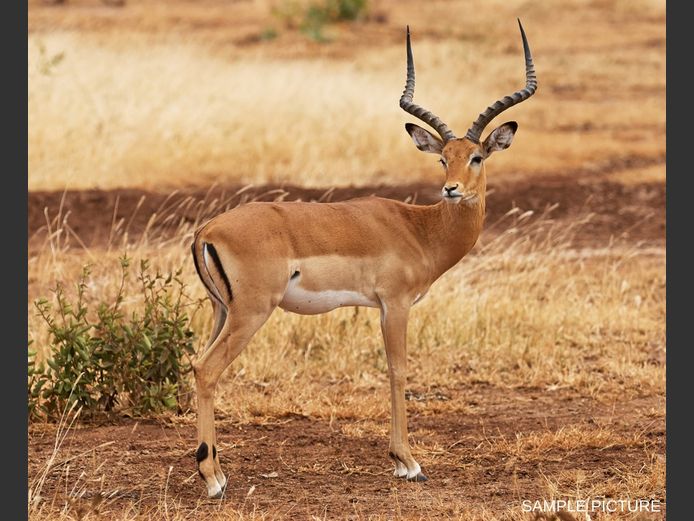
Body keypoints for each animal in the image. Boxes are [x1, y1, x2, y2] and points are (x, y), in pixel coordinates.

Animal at [190, 20, 537, 498]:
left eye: (477, 156)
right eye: (443, 159)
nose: (451, 189)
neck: (419, 228)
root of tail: (207, 230)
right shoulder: (396, 304)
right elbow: (398, 371)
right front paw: (408, 463)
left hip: (221, 310)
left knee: (195, 364)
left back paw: (214, 470)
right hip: (251, 312)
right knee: (206, 369)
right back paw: (213, 480)